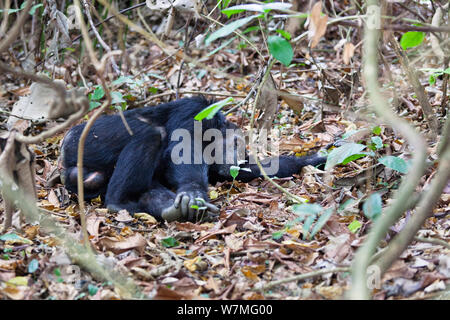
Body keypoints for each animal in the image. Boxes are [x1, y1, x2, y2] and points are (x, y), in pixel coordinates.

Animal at [59, 96, 326, 221]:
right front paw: (194, 193)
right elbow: (182, 148)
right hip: (86, 142)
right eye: (236, 143)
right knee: (151, 134)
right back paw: (119, 202)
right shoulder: (195, 111)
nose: (237, 158)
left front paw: (313, 159)